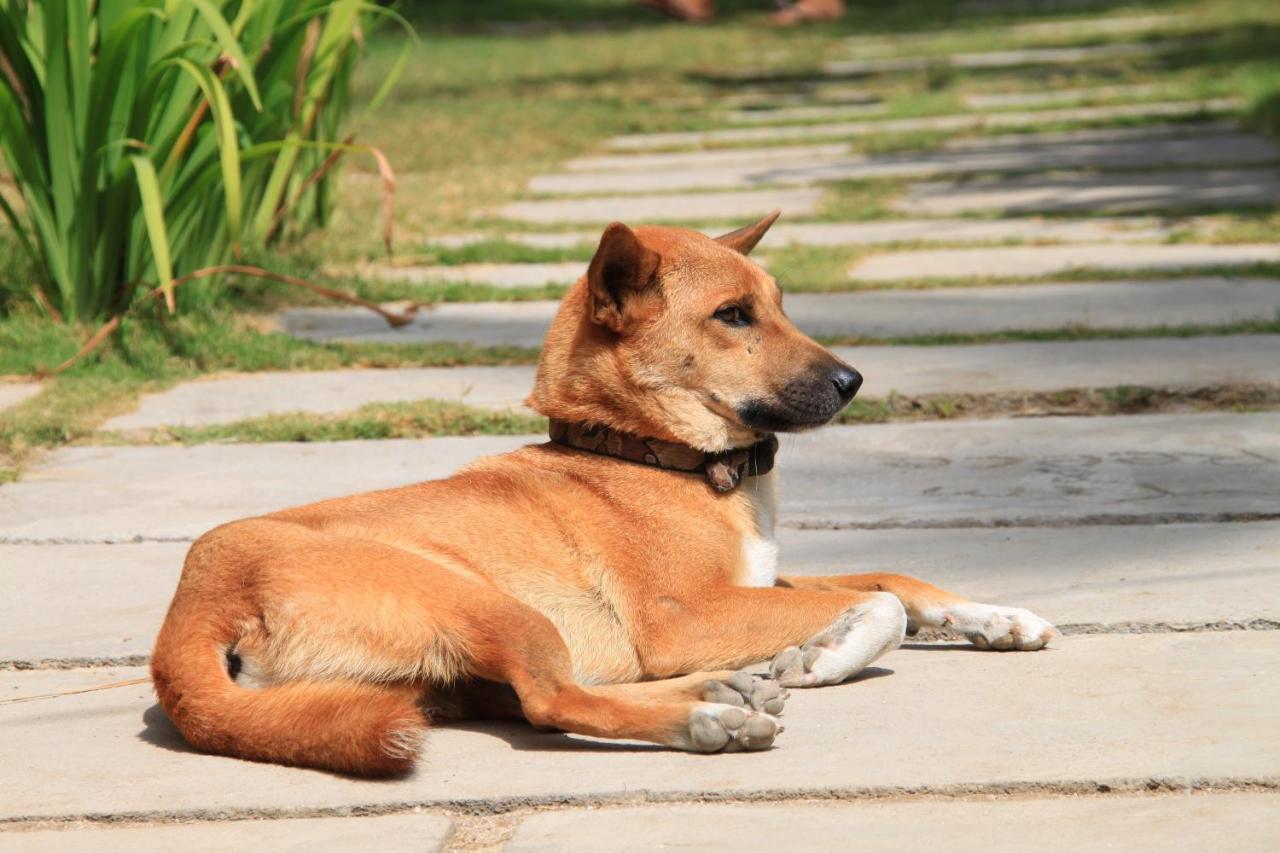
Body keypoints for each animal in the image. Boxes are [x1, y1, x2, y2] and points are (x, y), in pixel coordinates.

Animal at [149, 211, 1054, 768]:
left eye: (778, 305)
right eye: (733, 315)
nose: (853, 382)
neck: (643, 450)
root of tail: (194, 602)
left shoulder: (759, 582)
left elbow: (894, 577)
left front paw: (995, 616)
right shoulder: (686, 616)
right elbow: (883, 604)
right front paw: (825, 655)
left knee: (542, 695)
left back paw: (722, 688)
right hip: (494, 604)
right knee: (552, 700)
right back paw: (705, 717)